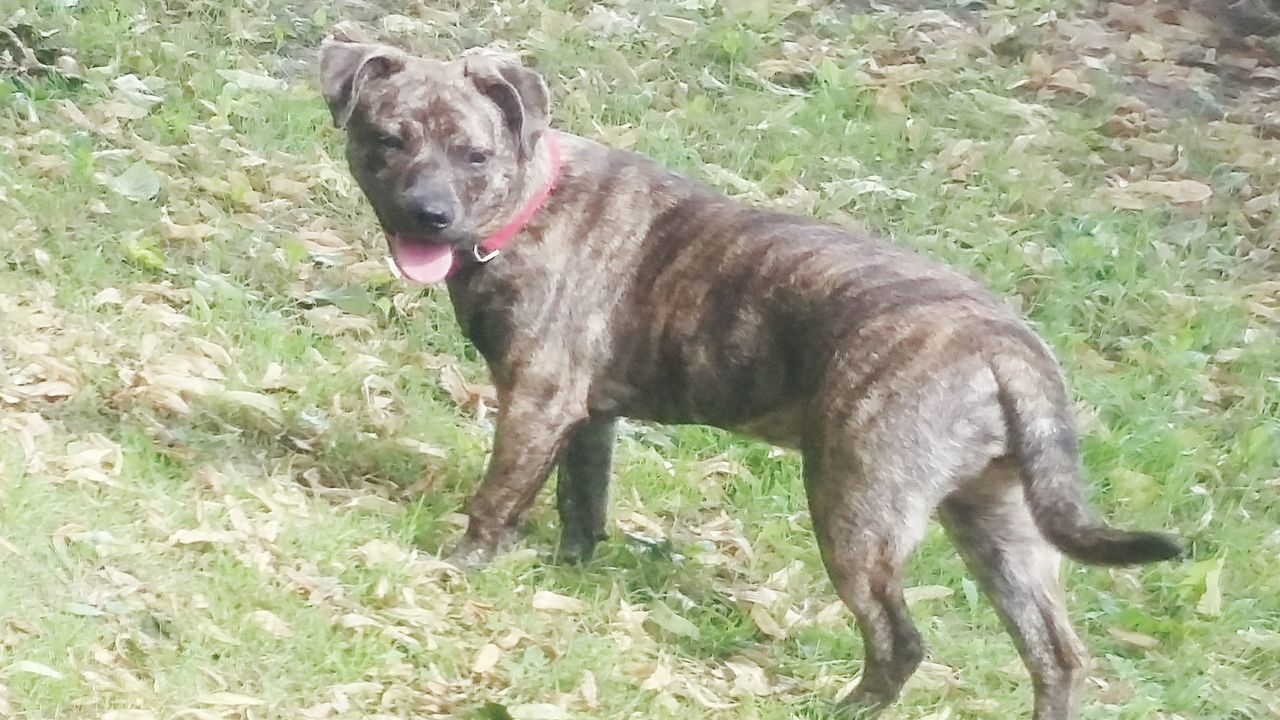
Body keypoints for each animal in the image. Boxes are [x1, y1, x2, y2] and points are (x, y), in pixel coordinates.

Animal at [317, 37, 1177, 717]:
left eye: (475, 156)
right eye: (388, 140)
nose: (428, 214)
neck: (529, 206)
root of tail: (1009, 349)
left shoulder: (536, 399)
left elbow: (497, 496)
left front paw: (460, 567)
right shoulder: (588, 418)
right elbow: (580, 506)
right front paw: (567, 574)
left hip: (856, 508)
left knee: (899, 639)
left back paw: (845, 708)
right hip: (1002, 528)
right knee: (1056, 655)